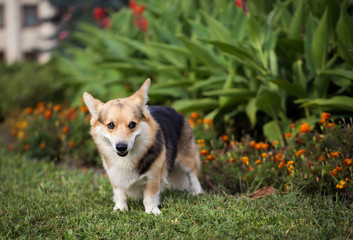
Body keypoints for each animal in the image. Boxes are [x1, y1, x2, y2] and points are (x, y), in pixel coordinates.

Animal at [82, 79, 202, 216]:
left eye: (132, 124)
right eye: (111, 125)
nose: (121, 147)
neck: (126, 159)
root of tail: (175, 111)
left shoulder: (153, 177)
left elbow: (149, 196)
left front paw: (152, 211)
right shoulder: (115, 177)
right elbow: (120, 194)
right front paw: (120, 209)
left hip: (185, 160)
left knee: (192, 174)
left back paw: (196, 192)